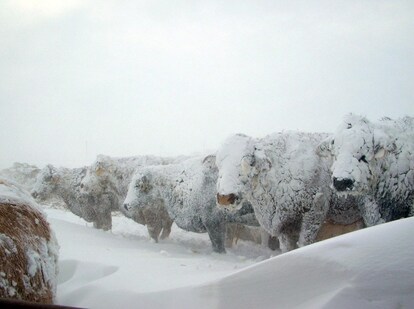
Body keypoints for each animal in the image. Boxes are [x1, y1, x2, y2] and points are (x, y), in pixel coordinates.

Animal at [215, 131, 364, 251]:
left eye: (250, 162)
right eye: (219, 165)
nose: (224, 197)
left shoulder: (315, 211)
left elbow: (304, 243)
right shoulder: (284, 224)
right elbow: (287, 248)